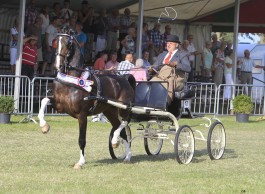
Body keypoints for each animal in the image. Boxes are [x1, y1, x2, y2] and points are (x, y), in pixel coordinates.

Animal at [37, 27, 134, 168]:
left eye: (68, 44)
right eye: (55, 42)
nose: (57, 66)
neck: (72, 79)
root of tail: (125, 79)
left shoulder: (82, 115)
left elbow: (81, 139)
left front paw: (80, 162)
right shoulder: (60, 106)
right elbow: (44, 100)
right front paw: (44, 126)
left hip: (123, 108)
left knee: (124, 123)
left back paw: (119, 145)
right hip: (109, 111)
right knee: (121, 130)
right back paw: (125, 154)